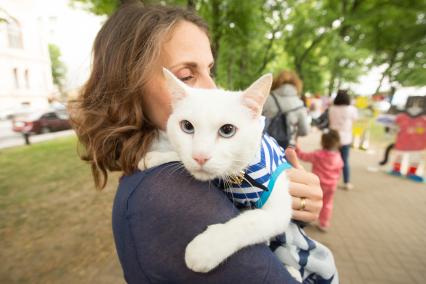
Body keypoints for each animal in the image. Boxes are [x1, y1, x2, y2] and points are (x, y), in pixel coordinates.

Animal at [137, 69, 296, 278]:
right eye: (187, 126)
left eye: (227, 130)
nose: (200, 157)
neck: (238, 175)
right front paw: (157, 157)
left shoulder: (278, 212)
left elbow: (251, 221)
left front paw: (207, 248)